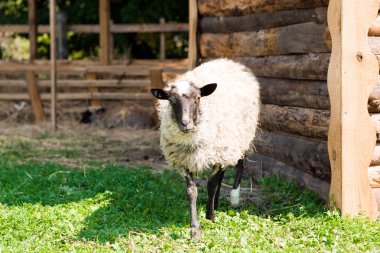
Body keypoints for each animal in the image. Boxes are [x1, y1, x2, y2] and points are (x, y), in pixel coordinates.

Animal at [150, 57, 260, 239]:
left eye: (198, 98)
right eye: (171, 101)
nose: (185, 124)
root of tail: (227, 61)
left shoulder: (220, 153)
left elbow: (211, 185)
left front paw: (210, 217)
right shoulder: (184, 160)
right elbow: (192, 191)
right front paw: (195, 229)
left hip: (240, 136)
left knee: (240, 164)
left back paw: (233, 198)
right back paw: (216, 203)